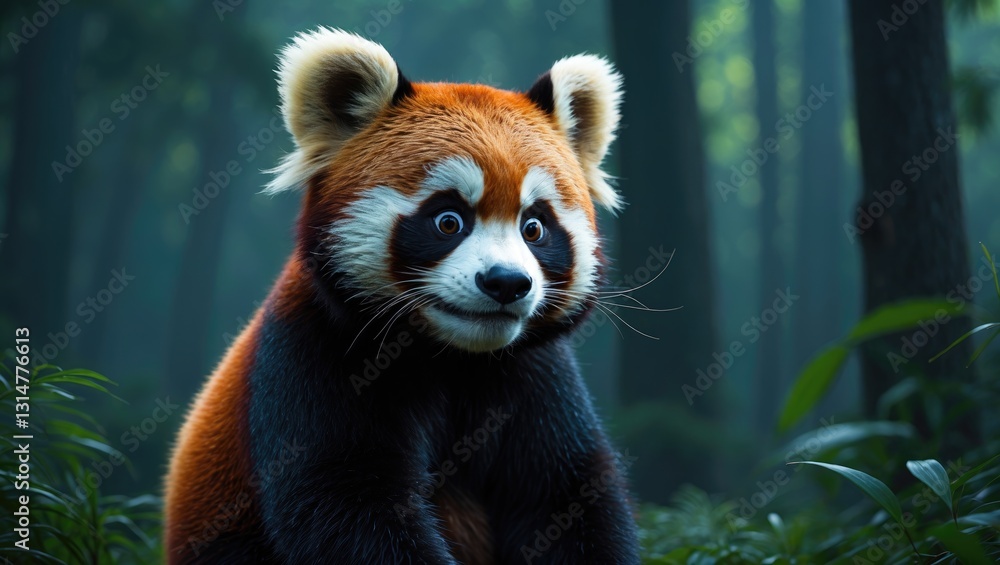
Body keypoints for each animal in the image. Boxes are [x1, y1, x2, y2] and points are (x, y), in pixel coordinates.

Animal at [164, 28, 640, 564]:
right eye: (448, 221)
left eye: (534, 227)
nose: (506, 282)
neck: (452, 359)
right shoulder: (313, 355)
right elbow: (348, 506)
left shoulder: (538, 380)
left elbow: (566, 500)